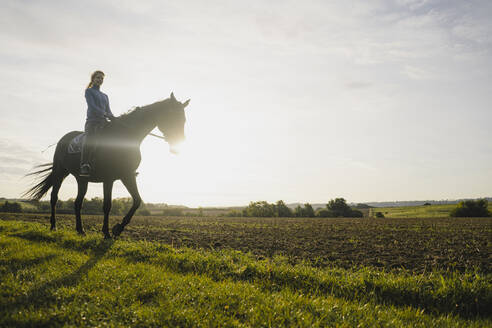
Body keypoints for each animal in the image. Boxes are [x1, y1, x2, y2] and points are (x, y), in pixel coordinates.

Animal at [24, 92, 190, 238]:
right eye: (172, 116)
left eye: (184, 120)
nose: (177, 146)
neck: (125, 138)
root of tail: (64, 138)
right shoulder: (108, 179)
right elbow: (107, 205)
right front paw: (106, 232)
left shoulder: (127, 175)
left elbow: (137, 201)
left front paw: (118, 228)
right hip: (60, 172)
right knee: (54, 198)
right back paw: (53, 226)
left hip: (82, 179)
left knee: (77, 203)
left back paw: (80, 230)